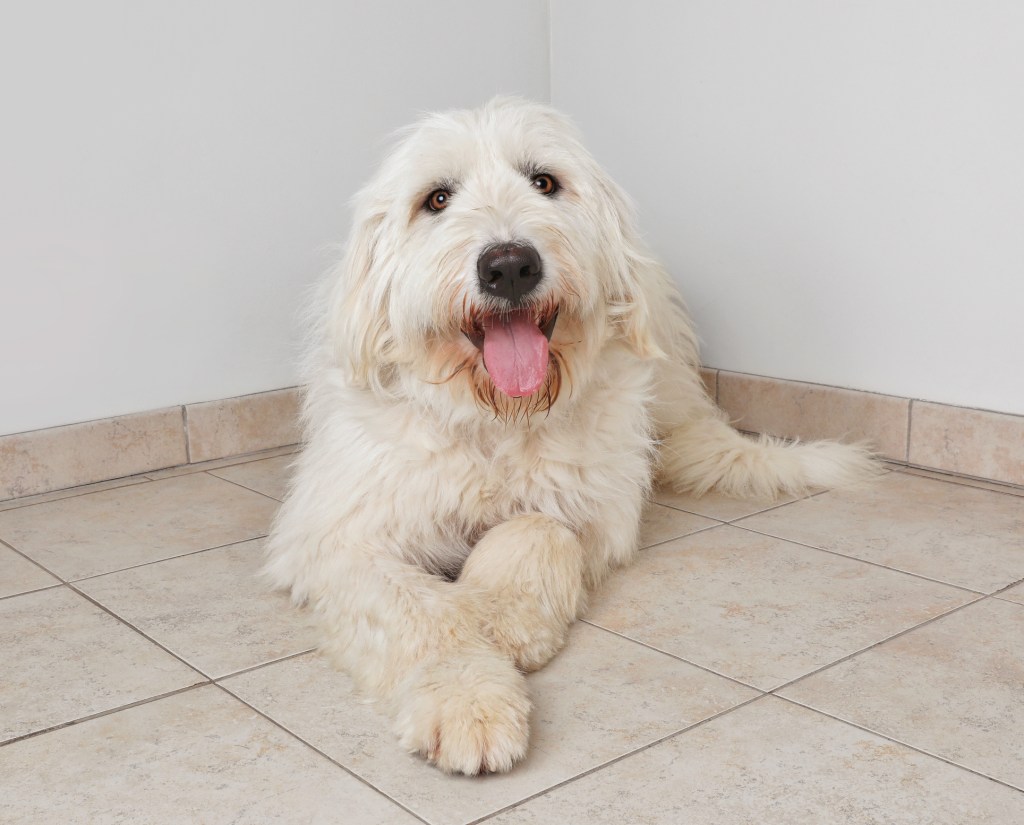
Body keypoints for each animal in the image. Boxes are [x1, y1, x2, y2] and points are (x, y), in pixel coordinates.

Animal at [264, 95, 872, 773]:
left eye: (544, 182)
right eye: (437, 198)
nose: (509, 267)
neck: (495, 418)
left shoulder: (593, 503)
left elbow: (539, 530)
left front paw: (501, 618)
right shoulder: (340, 536)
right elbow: (418, 614)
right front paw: (468, 699)